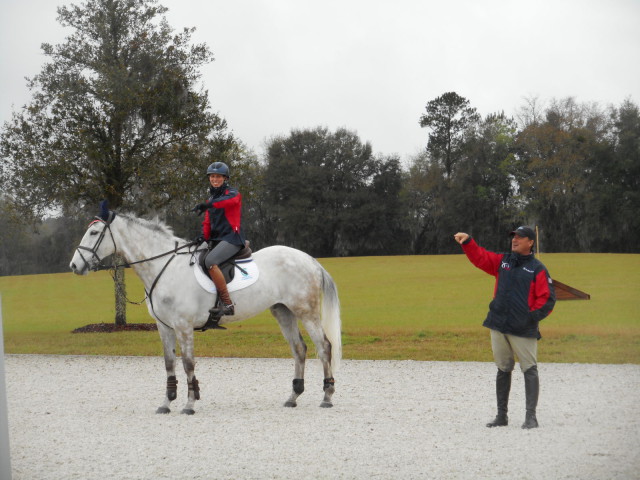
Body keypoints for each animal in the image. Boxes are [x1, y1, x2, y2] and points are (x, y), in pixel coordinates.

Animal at [68, 208, 342, 414]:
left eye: (94, 232)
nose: (74, 266)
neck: (164, 266)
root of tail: (309, 259)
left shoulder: (183, 325)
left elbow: (188, 363)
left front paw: (189, 403)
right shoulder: (164, 327)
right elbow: (169, 363)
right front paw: (167, 402)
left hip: (306, 312)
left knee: (323, 347)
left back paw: (327, 396)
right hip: (283, 311)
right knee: (299, 349)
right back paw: (293, 397)